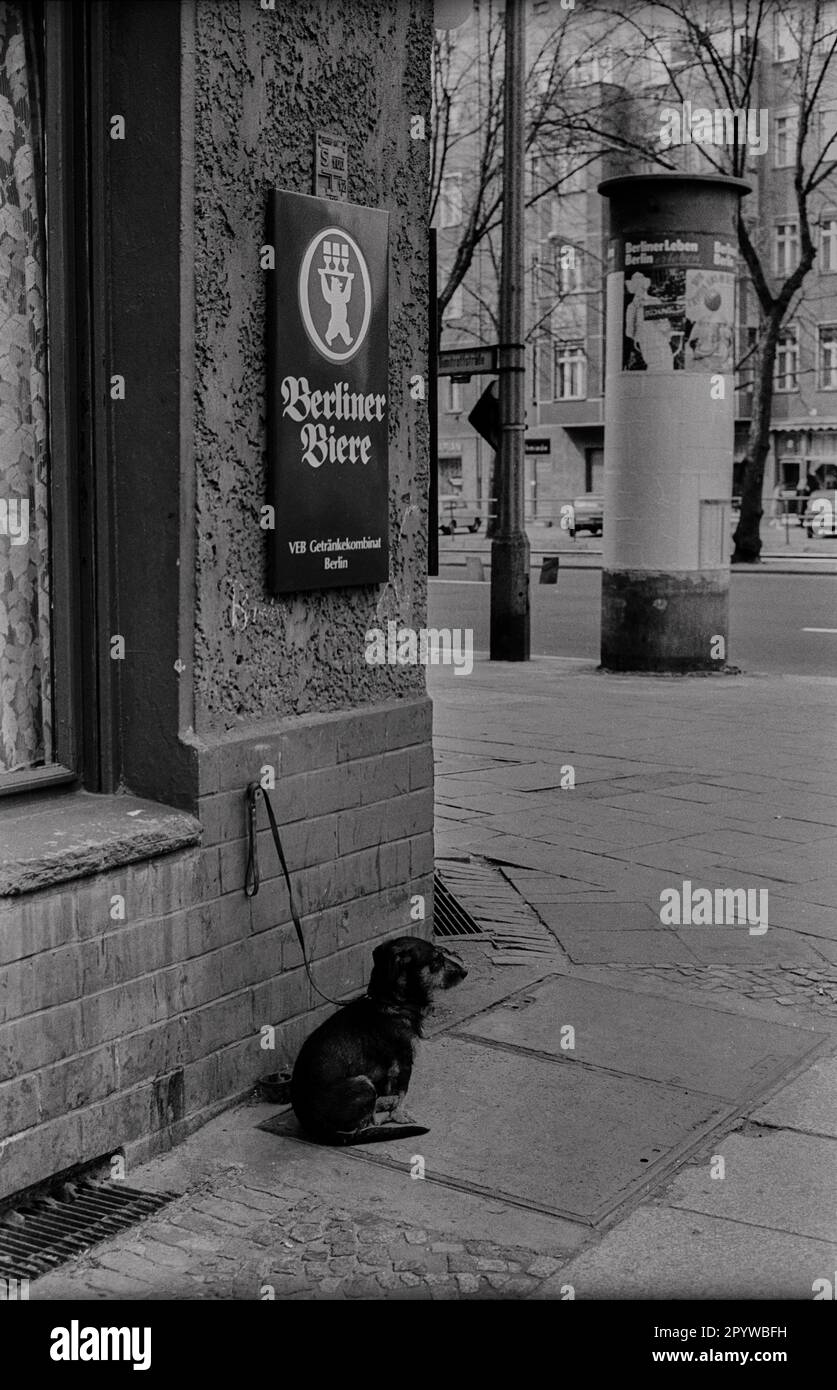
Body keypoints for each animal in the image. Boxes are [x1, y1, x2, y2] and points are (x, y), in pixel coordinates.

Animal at [290, 939, 467, 1145]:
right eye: (436, 959)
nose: (465, 972)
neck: (392, 1003)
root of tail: (314, 1127)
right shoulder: (404, 1062)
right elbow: (403, 1093)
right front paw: (399, 1115)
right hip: (363, 1084)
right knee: (365, 1124)